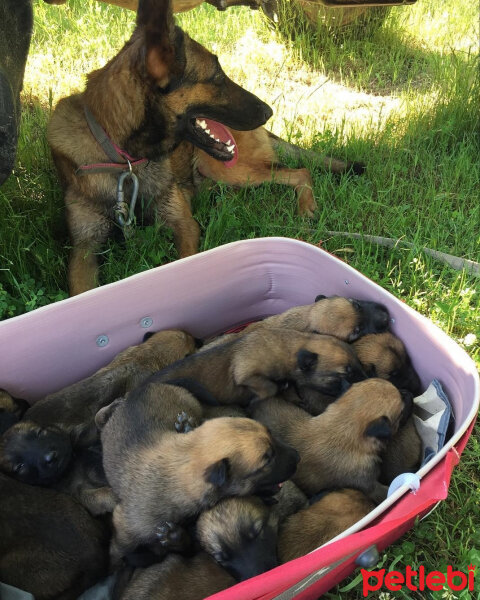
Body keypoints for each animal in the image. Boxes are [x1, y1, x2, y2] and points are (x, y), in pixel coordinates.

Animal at [49, 0, 364, 294]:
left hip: (227, 168)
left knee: (300, 172)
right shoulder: (84, 249)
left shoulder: (183, 224)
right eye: (217, 77)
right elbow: (80, 292)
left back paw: (306, 207)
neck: (124, 160)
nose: (269, 111)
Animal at [98, 384, 300, 564]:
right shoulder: (125, 524)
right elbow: (119, 548)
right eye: (267, 459)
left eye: (270, 433)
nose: (298, 456)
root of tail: (140, 387)